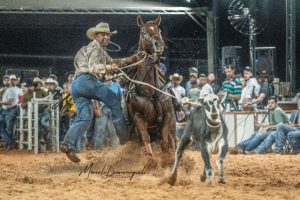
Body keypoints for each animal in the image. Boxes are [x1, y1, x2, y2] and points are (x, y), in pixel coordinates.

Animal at [126, 15, 176, 156]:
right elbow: (145, 137)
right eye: (143, 32)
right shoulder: (138, 117)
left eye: (159, 30)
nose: (158, 44)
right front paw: (149, 153)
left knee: (173, 139)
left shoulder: (168, 115)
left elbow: (165, 141)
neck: (150, 91)